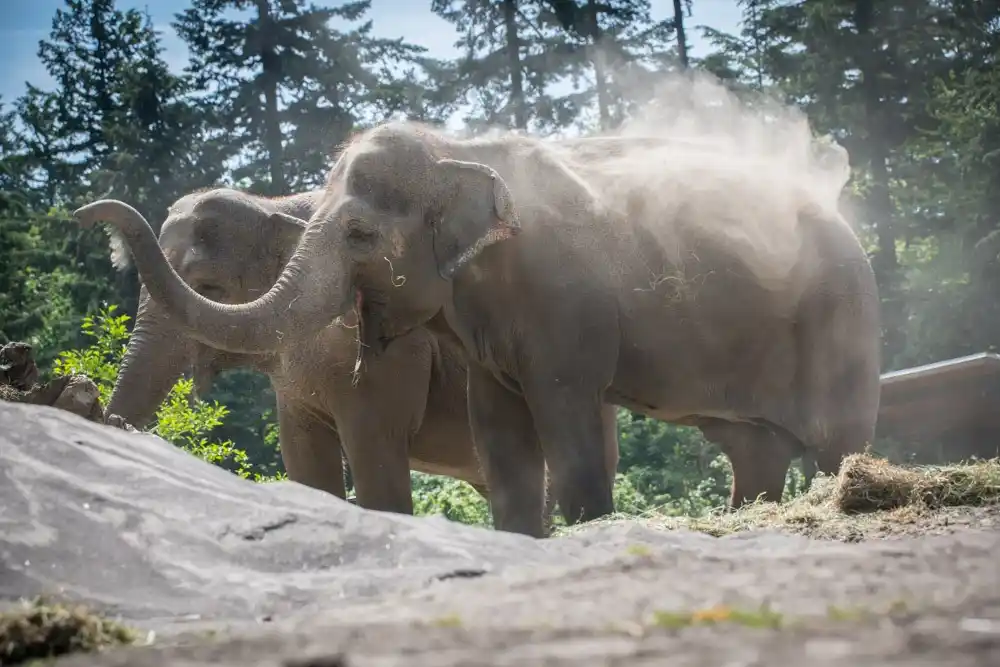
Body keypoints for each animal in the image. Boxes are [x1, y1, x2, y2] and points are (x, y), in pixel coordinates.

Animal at [100, 185, 620, 525]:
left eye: (207, 286)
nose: (89, 216)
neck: (274, 205)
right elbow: (304, 462)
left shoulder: (391, 350)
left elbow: (375, 454)